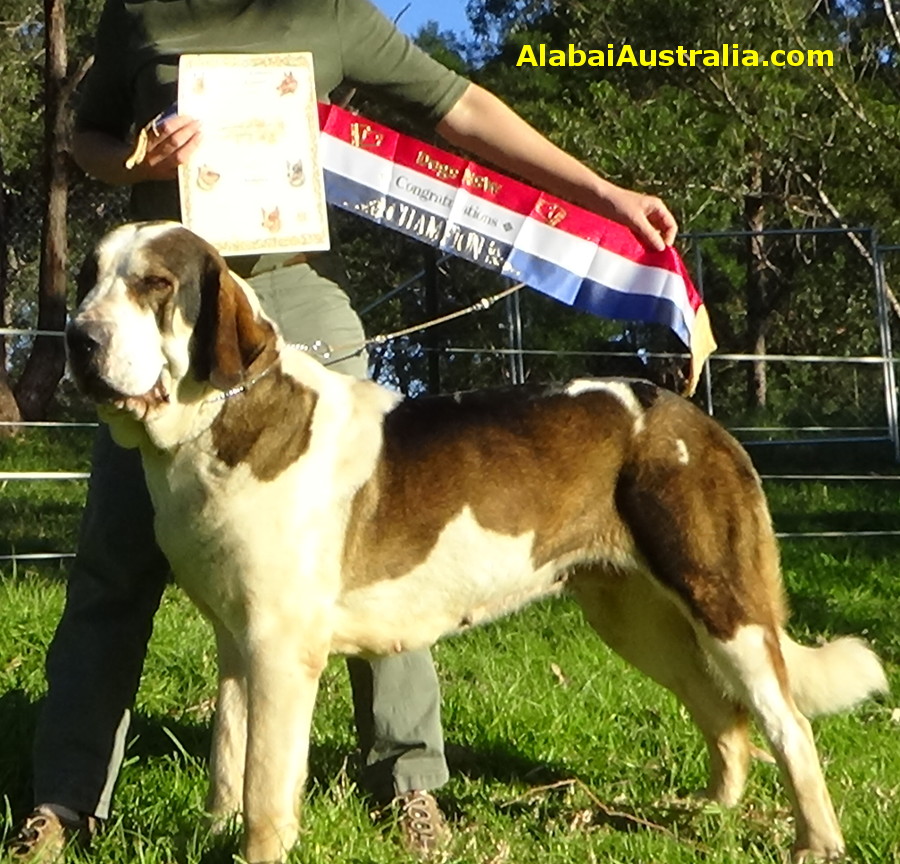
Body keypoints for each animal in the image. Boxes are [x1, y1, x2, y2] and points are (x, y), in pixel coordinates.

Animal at [65, 223, 884, 864]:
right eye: (87, 276)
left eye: (155, 284)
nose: (78, 336)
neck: (214, 424)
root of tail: (691, 416)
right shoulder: (237, 644)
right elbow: (228, 757)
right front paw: (215, 833)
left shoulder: (279, 650)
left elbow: (266, 783)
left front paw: (256, 847)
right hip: (634, 616)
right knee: (723, 712)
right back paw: (710, 812)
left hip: (721, 601)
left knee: (788, 724)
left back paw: (816, 842)